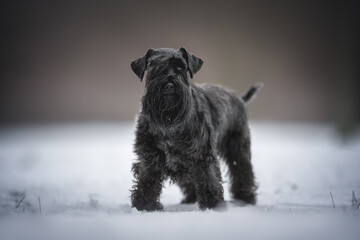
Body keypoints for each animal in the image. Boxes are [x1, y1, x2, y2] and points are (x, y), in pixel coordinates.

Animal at [129, 47, 262, 210]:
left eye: (181, 68)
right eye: (155, 67)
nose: (169, 85)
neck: (169, 122)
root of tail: (239, 98)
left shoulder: (202, 154)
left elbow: (209, 180)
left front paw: (213, 206)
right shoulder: (150, 154)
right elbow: (147, 180)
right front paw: (144, 206)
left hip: (238, 148)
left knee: (242, 172)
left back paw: (245, 199)